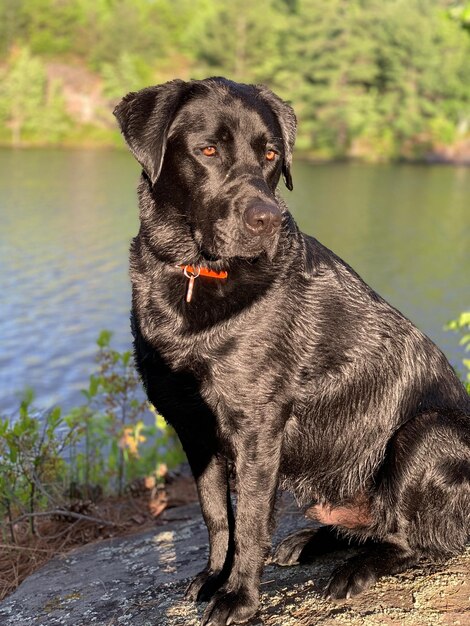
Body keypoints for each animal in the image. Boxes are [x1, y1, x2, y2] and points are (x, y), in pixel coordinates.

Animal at [114, 78, 470, 624]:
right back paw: (308, 542)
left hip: (426, 434)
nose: (268, 218)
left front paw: (238, 597)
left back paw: (356, 570)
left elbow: (251, 520)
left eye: (271, 155)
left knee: (418, 540)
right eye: (208, 150)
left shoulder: (257, 427)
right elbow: (217, 515)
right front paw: (212, 576)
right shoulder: (192, 427)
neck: (197, 273)